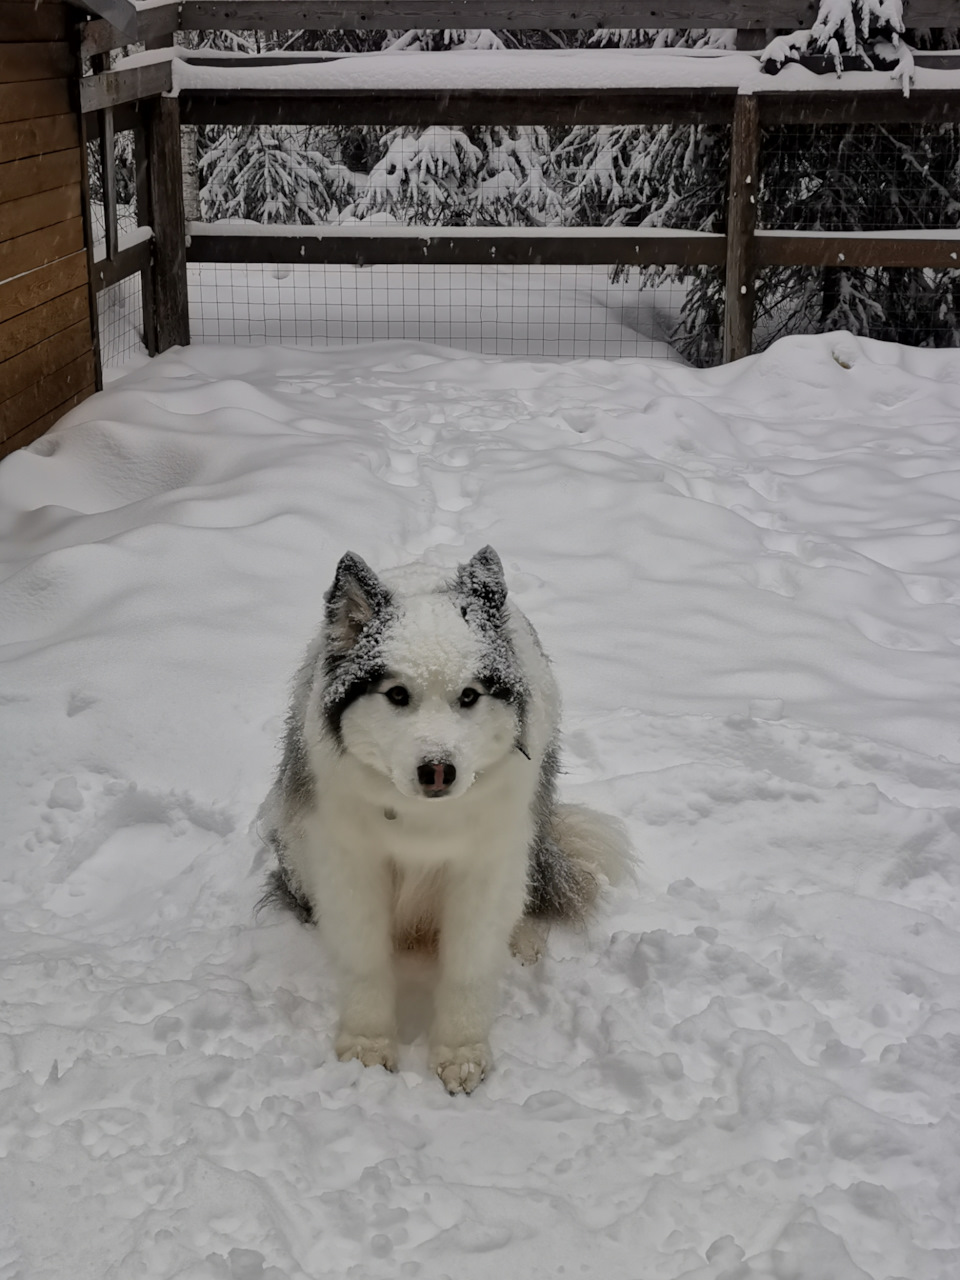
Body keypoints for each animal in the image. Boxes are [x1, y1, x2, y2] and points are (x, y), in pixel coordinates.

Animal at [259, 545, 627, 1095]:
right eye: (396, 694)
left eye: (470, 696)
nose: (437, 770)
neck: (421, 819)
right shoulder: (352, 861)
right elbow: (365, 957)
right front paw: (367, 1045)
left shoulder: (484, 862)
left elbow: (468, 966)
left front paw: (461, 1055)